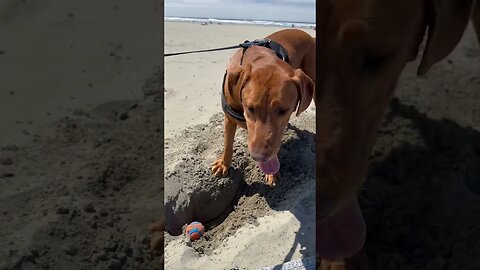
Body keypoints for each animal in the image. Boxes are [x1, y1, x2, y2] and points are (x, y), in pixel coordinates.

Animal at [210, 28, 316, 187]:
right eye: (250, 108)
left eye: (283, 110)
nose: (258, 156)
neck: (260, 58)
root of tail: (309, 35)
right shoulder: (229, 118)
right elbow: (228, 144)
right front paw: (224, 164)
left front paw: (272, 173)